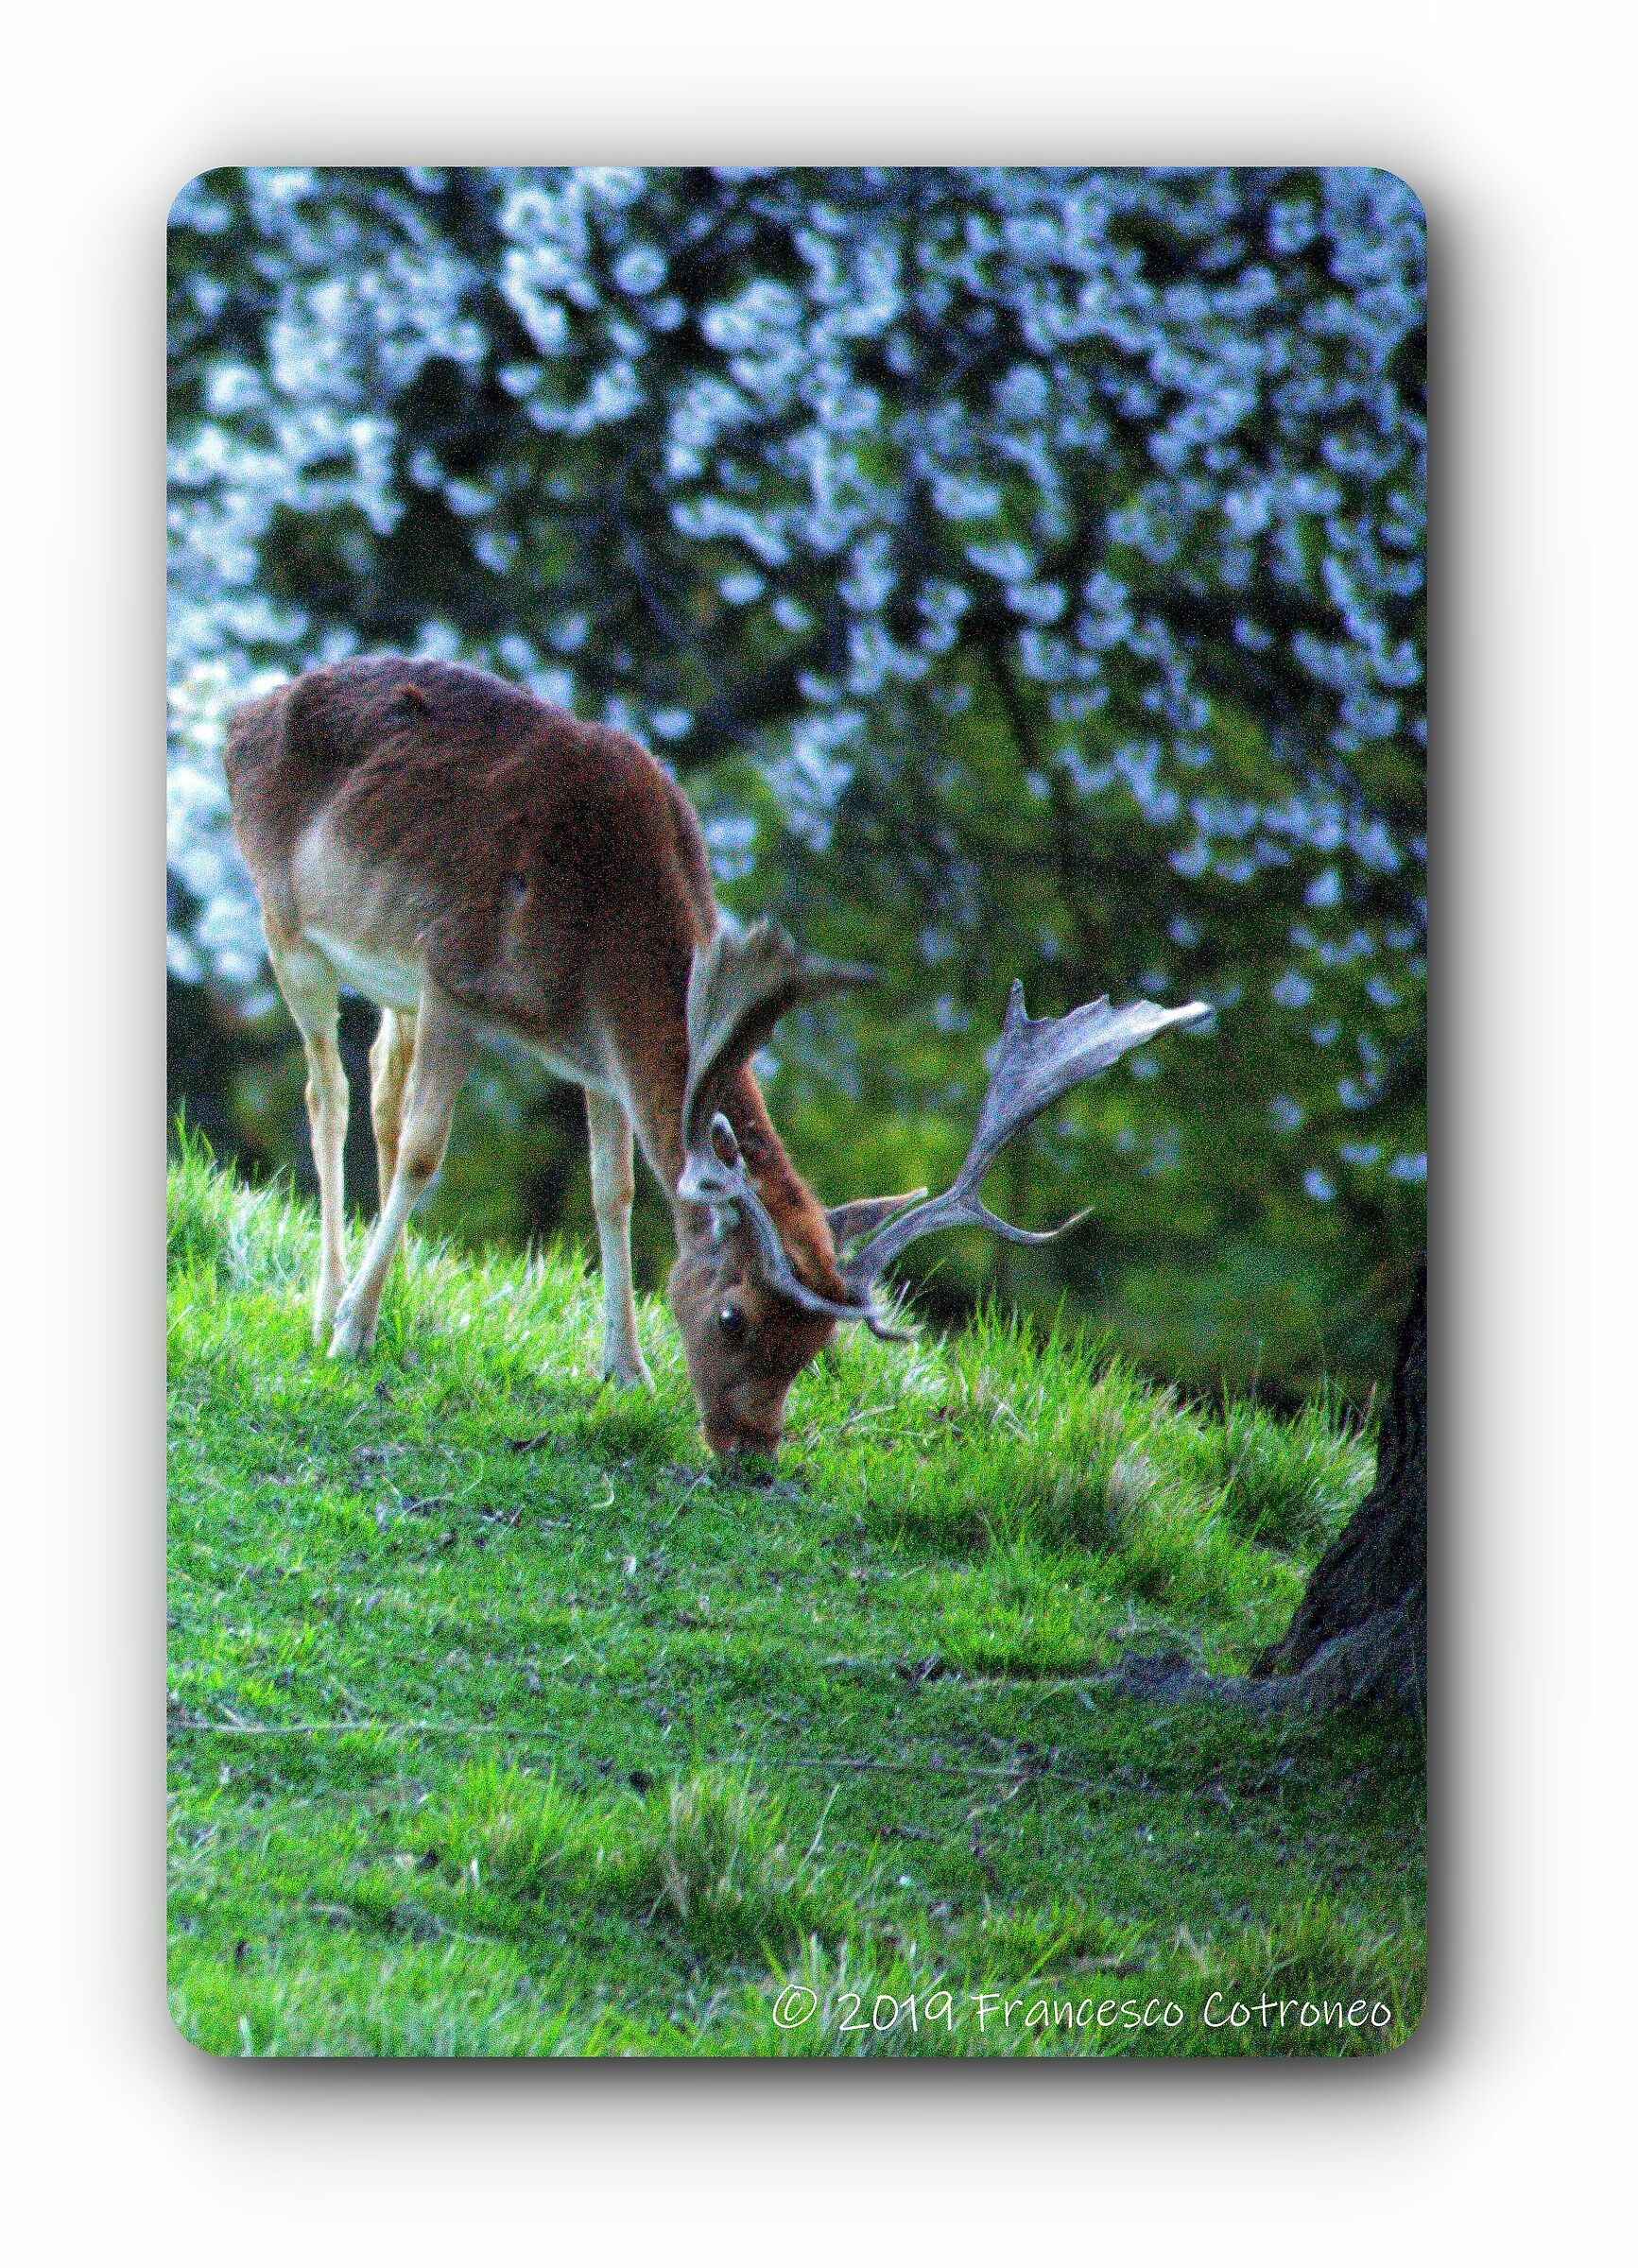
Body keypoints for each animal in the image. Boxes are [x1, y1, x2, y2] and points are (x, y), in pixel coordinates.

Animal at [222, 655, 1208, 1457]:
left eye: (815, 1346)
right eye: (734, 1317)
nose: (751, 1452)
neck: (596, 938)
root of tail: (246, 712)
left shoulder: (590, 1058)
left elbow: (613, 1192)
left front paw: (626, 1371)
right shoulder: (455, 982)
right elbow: (428, 1157)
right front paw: (353, 1338)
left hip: (389, 984)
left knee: (378, 1096)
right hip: (287, 928)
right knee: (327, 1096)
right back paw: (329, 1302)